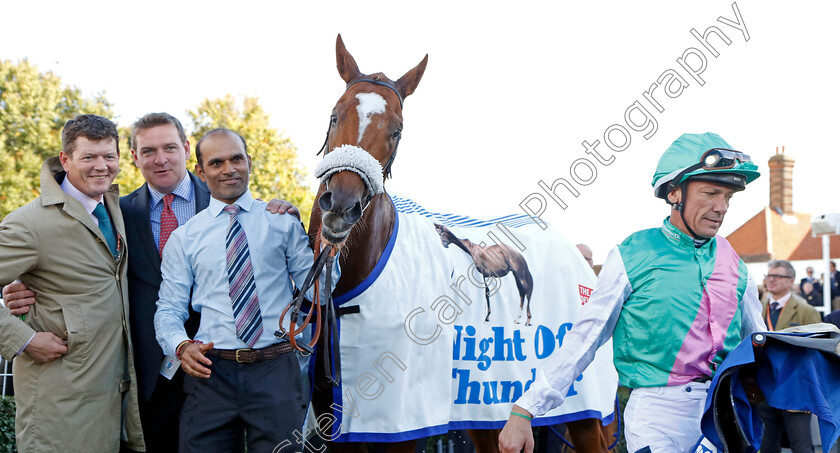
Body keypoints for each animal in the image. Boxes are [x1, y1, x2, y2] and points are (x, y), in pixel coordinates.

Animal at [306, 35, 612, 452]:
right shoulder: (333, 426)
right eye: (335, 115)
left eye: (397, 130)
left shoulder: (400, 423)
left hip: (580, 406)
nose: (341, 204)